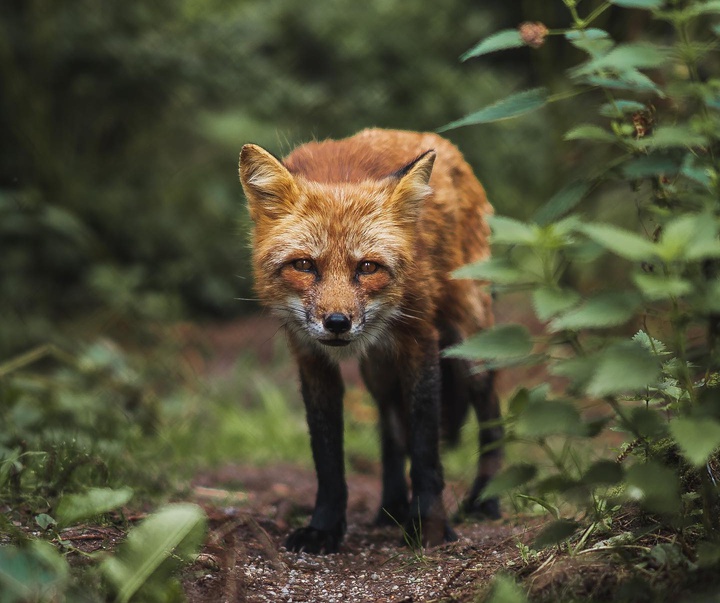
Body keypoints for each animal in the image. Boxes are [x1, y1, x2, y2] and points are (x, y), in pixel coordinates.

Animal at [239, 130, 504, 556]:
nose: (336, 323)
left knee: (492, 420)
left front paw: (427, 525)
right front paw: (324, 527)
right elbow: (328, 457)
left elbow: (425, 448)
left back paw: (485, 499)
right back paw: (390, 507)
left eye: (367, 267)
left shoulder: (420, 340)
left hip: (469, 344)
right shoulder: (310, 356)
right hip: (378, 369)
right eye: (304, 265)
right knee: (390, 428)